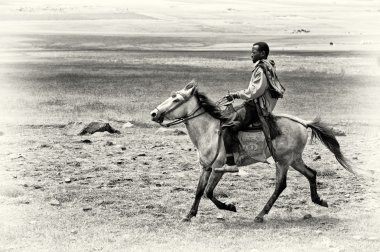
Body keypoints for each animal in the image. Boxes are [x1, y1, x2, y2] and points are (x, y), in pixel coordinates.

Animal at [149, 81, 354, 222]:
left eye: (176, 99)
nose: (153, 113)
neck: (209, 130)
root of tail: (303, 123)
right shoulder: (205, 167)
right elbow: (199, 191)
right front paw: (189, 215)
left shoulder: (218, 168)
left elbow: (208, 192)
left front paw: (230, 207)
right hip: (294, 159)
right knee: (311, 173)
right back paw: (319, 200)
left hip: (283, 161)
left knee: (280, 185)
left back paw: (261, 214)